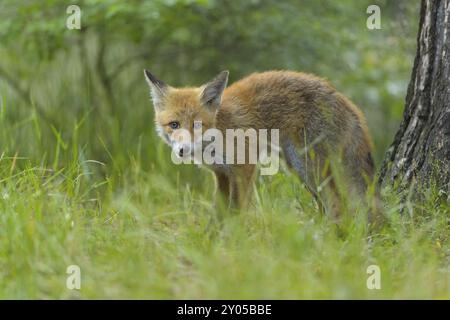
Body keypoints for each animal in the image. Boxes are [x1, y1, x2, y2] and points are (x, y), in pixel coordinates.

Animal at [144, 70, 376, 218]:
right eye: (174, 125)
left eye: (197, 125)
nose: (182, 151)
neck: (220, 130)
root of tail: (347, 101)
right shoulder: (221, 174)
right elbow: (218, 215)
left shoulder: (244, 169)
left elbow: (235, 212)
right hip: (301, 170)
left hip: (307, 166)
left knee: (337, 203)